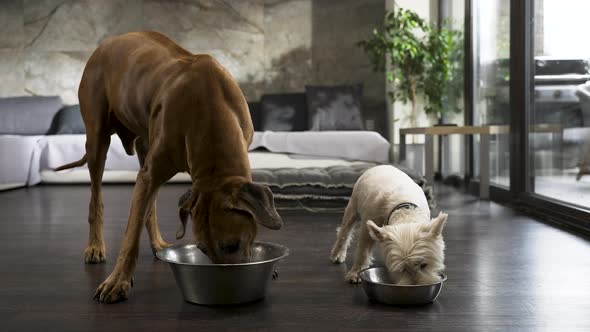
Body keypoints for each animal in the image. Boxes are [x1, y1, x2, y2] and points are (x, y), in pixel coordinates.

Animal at [56, 31, 284, 304]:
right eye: (202, 249)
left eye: (232, 246)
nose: (226, 287)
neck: (210, 105)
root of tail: (106, 44)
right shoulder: (151, 172)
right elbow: (130, 237)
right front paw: (117, 281)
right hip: (97, 140)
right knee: (97, 199)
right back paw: (95, 246)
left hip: (144, 141)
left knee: (148, 207)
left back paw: (157, 244)